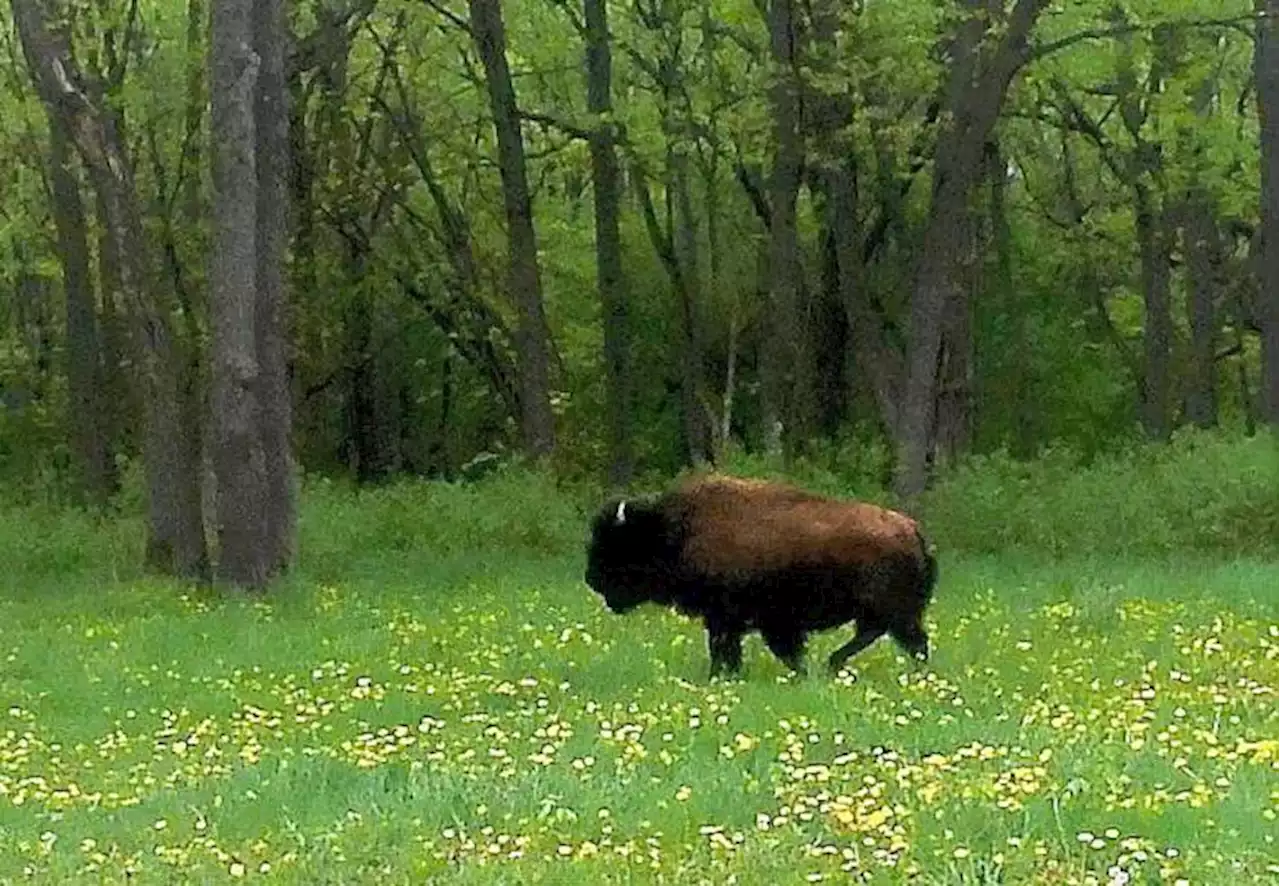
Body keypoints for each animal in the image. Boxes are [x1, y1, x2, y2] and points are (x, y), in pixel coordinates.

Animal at [586, 478, 936, 676]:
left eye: (617, 543)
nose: (591, 578)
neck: (676, 531)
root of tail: (912, 530)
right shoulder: (750, 622)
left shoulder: (730, 619)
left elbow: (728, 648)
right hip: (885, 613)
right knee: (881, 635)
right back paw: (833, 664)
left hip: (895, 612)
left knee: (909, 640)